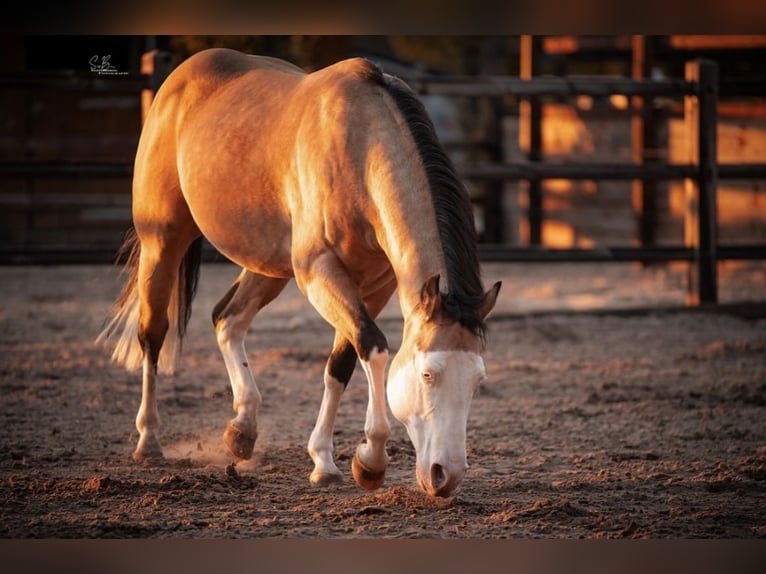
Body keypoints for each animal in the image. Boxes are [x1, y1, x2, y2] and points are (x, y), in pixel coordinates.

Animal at [98, 48, 500, 498]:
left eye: (478, 380)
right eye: (428, 374)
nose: (447, 475)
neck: (363, 151)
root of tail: (181, 76)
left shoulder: (374, 285)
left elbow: (342, 362)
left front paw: (325, 460)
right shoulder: (317, 272)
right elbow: (375, 349)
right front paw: (371, 460)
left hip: (268, 264)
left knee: (227, 319)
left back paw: (242, 430)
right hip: (163, 242)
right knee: (153, 334)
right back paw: (148, 439)